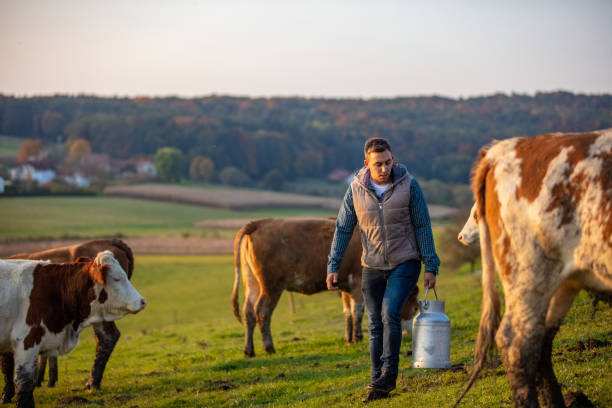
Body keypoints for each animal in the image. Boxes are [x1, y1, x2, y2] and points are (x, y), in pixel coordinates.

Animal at [231, 217, 420, 356]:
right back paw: (269, 347)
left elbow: (348, 312)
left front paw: (349, 338)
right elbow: (358, 311)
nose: (408, 332)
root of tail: (260, 222)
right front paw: (358, 337)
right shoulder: (358, 283)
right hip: (271, 286)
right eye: (414, 304)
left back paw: (249, 350)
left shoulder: (345, 286)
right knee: (262, 312)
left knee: (249, 312)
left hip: (253, 283)